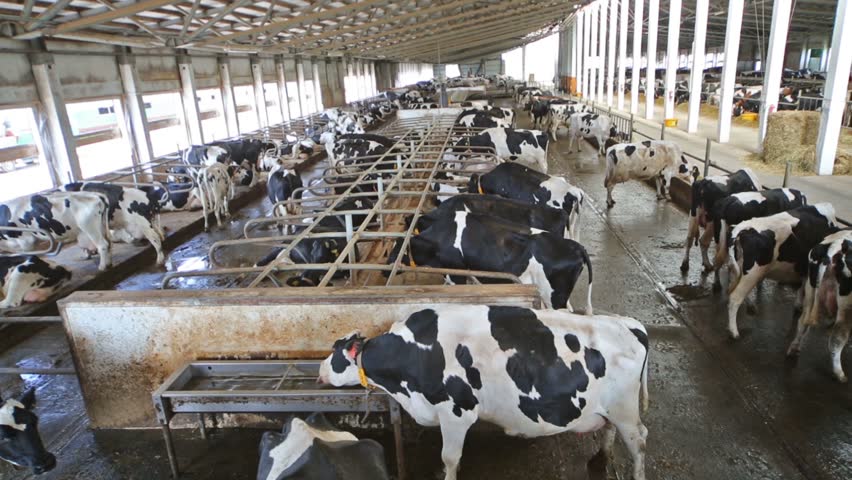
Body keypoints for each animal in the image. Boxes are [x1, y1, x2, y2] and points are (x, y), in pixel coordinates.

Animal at [316, 306, 648, 478]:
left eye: (335, 354)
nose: (319, 371)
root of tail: (629, 324)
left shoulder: (456, 412)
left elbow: (450, 456)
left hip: (626, 409)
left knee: (639, 441)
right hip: (611, 408)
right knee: (610, 429)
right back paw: (601, 458)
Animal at [724, 204, 840, 340]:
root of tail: (742, 229)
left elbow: (801, 285)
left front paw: (798, 304)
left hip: (737, 270)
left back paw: (750, 307)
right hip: (752, 274)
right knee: (735, 298)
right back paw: (734, 332)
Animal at [784, 230, 852, 382]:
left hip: (810, 291)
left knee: (802, 322)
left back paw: (794, 348)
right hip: (846, 306)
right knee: (838, 338)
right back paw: (839, 374)